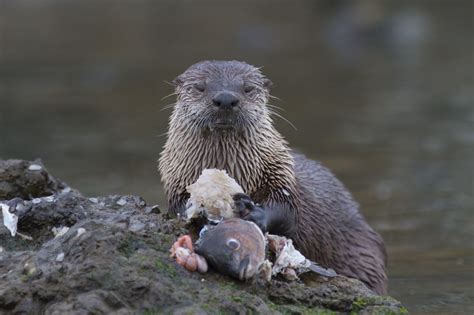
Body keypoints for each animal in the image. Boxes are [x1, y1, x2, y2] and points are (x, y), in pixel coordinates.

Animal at [157, 60, 386, 296]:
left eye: (248, 88)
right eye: (200, 87)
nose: (226, 99)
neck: (231, 170)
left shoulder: (280, 172)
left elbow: (287, 209)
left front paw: (255, 212)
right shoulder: (175, 177)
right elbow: (177, 206)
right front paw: (199, 210)